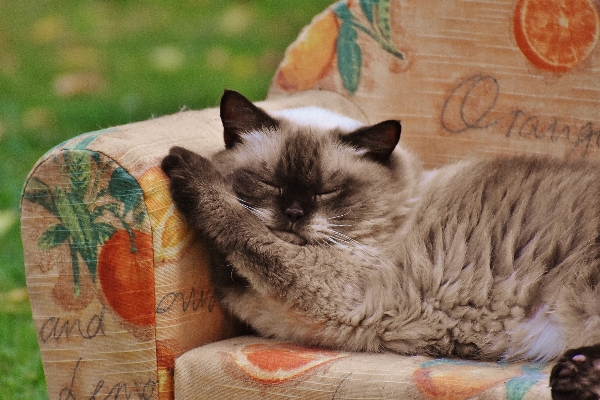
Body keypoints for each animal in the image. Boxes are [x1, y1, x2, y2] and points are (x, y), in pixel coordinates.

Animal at [161, 90, 600, 400]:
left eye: (326, 191)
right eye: (270, 183)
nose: (293, 214)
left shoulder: (339, 293)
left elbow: (244, 227)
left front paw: (184, 166)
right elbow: (240, 247)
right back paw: (575, 375)